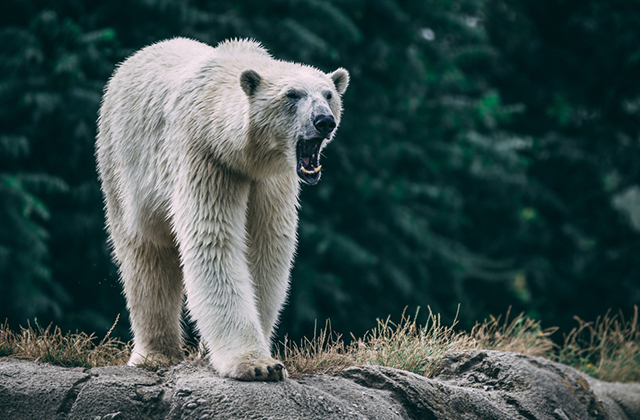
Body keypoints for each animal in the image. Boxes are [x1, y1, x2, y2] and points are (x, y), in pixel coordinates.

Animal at [96, 38, 350, 380]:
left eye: (328, 95)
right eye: (292, 95)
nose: (324, 121)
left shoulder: (270, 180)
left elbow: (267, 250)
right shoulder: (206, 157)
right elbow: (213, 243)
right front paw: (257, 365)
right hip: (122, 164)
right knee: (146, 254)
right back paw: (156, 354)